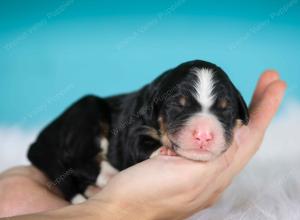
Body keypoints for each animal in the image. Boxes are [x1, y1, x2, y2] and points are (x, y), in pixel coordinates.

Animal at [27, 59, 248, 203]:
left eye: (225, 108)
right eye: (178, 105)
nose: (204, 135)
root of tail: (42, 138)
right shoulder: (133, 129)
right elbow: (139, 144)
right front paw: (162, 150)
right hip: (88, 110)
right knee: (76, 160)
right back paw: (109, 175)